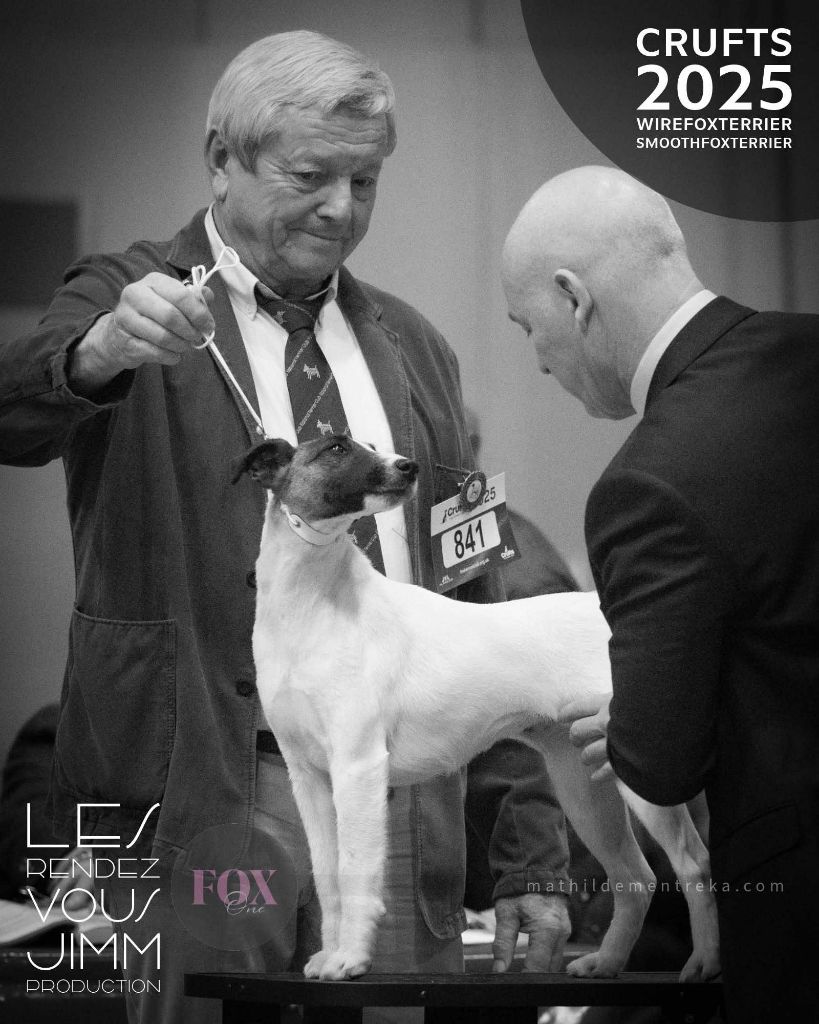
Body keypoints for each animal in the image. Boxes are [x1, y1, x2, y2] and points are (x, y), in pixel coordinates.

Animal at [232, 434, 720, 984]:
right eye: (336, 448)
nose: (408, 467)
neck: (314, 603)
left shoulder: (357, 768)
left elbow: (356, 872)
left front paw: (350, 958)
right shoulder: (309, 777)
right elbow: (329, 877)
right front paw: (328, 953)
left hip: (642, 776)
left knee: (693, 863)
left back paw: (704, 962)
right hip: (583, 782)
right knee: (636, 877)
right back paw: (607, 961)